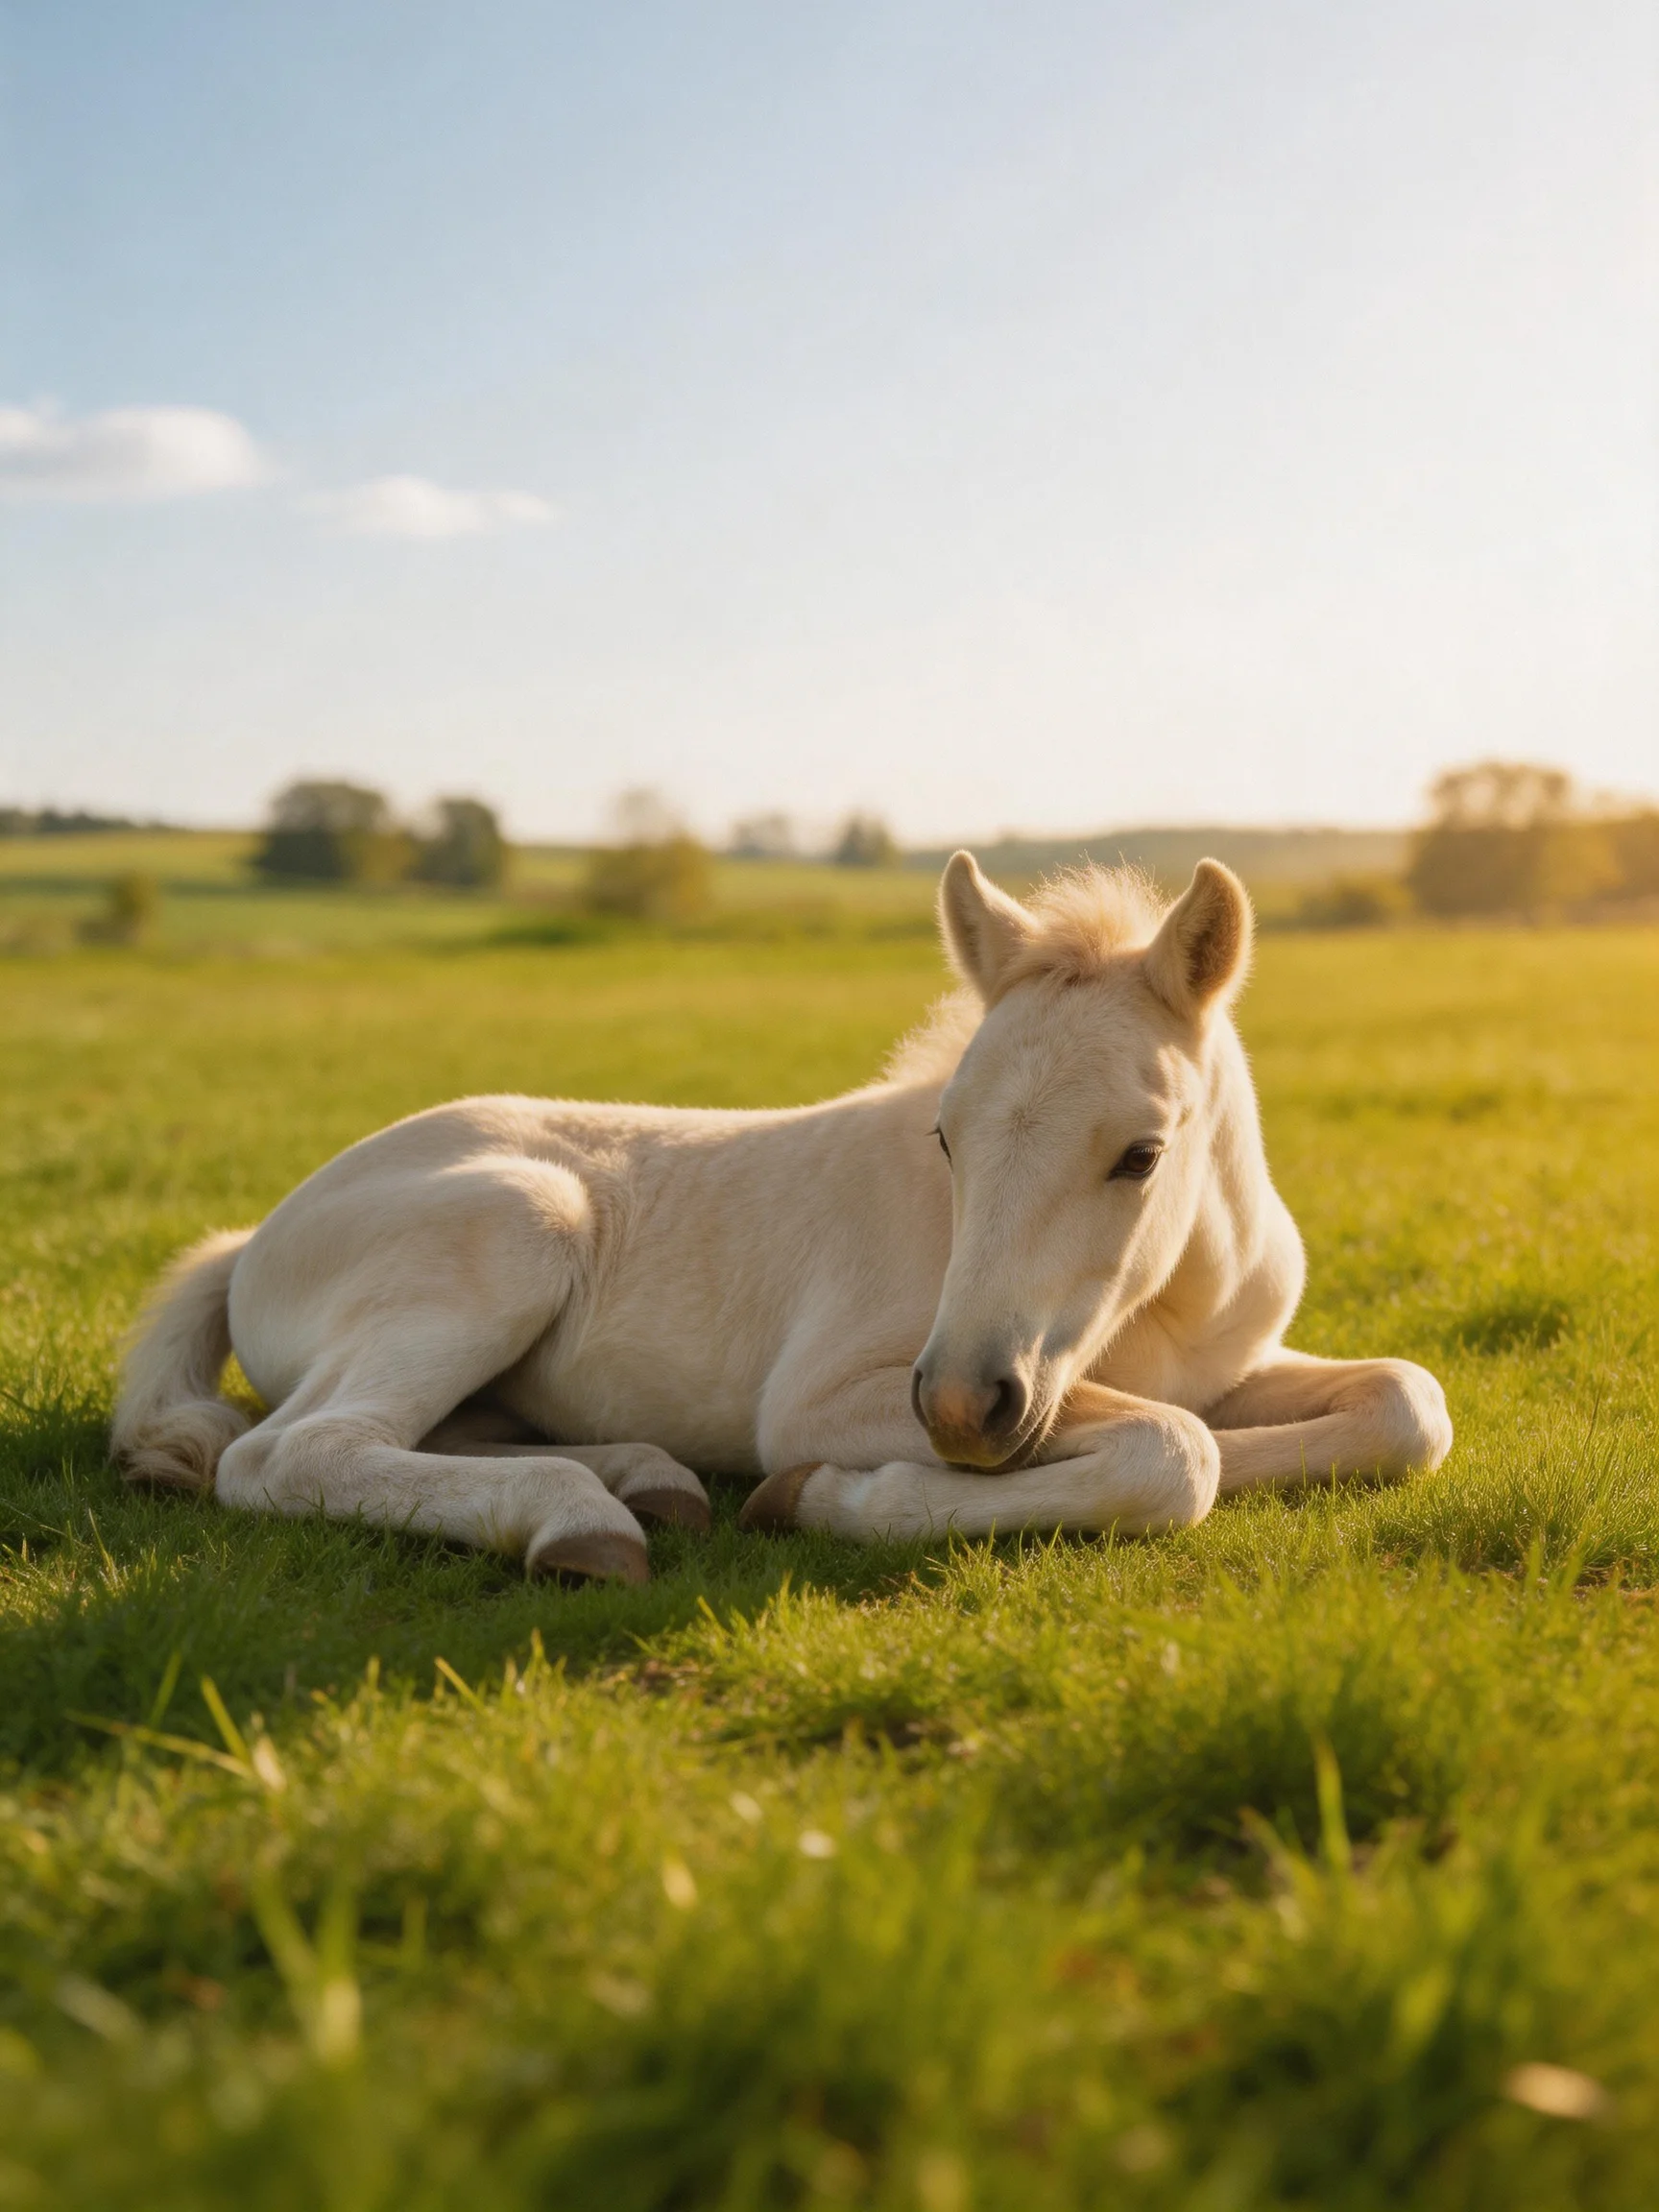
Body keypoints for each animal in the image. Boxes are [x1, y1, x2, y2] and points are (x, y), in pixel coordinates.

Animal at [113, 853, 1452, 1582]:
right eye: (948, 1138)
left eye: (1142, 1154)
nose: (960, 1409)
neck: (1168, 1306)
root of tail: (254, 1238)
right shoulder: (824, 1397)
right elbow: (1176, 1451)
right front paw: (829, 1498)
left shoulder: (1232, 1363)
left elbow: (1403, 1405)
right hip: (514, 1232)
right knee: (291, 1451)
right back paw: (579, 1522)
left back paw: (645, 1478)